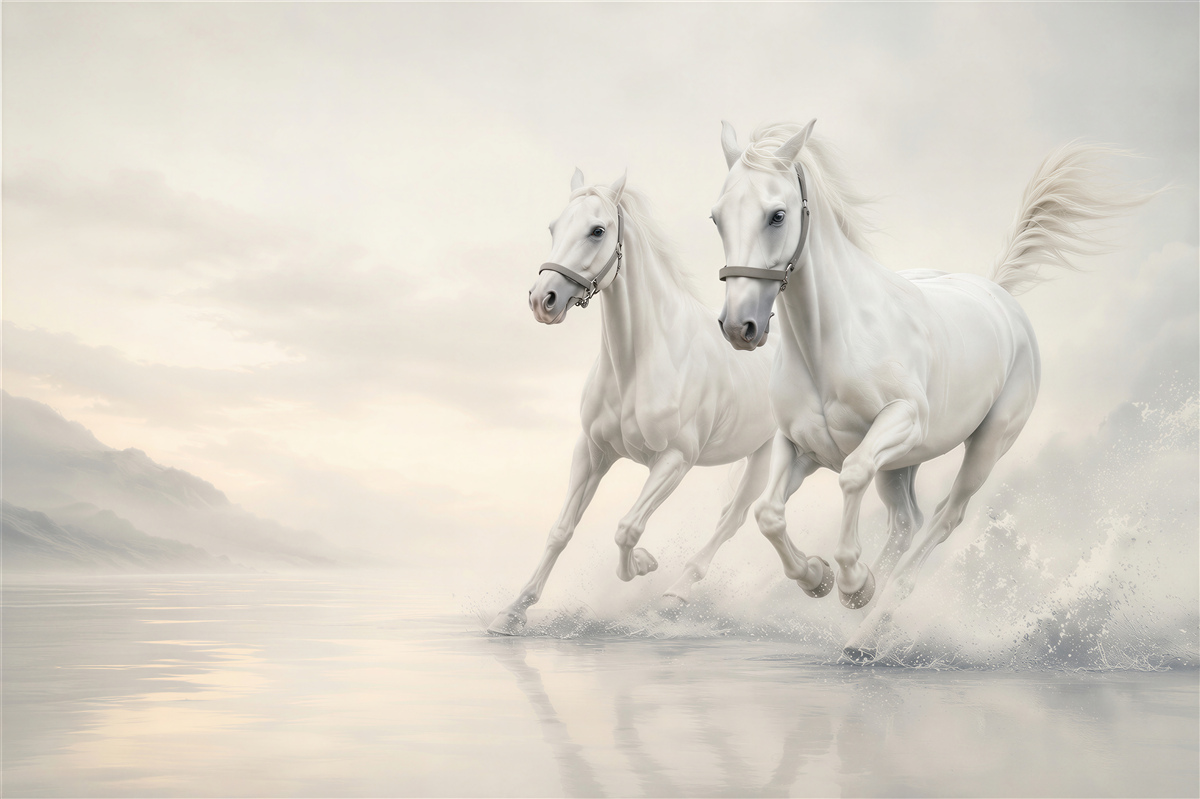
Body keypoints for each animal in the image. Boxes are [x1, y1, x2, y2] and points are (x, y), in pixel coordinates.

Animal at [711, 120, 1146, 659]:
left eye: (777, 215)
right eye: (717, 217)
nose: (739, 327)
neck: (829, 342)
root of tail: (998, 295)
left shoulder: (899, 421)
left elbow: (851, 475)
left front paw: (852, 583)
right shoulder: (799, 446)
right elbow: (767, 513)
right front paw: (817, 577)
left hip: (985, 446)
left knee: (942, 519)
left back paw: (866, 634)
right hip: (900, 467)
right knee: (906, 524)